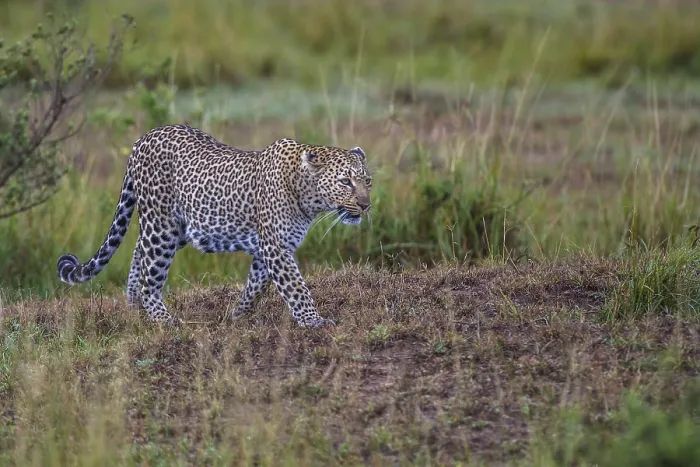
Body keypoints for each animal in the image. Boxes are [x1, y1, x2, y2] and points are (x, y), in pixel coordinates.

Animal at [56, 124, 372, 327]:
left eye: (366, 181)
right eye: (345, 182)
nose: (366, 205)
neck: (306, 193)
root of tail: (142, 138)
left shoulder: (266, 249)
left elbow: (256, 285)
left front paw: (238, 315)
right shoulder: (275, 246)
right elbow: (295, 286)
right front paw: (313, 320)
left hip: (176, 227)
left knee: (139, 254)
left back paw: (134, 308)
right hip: (162, 226)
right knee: (150, 274)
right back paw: (163, 319)